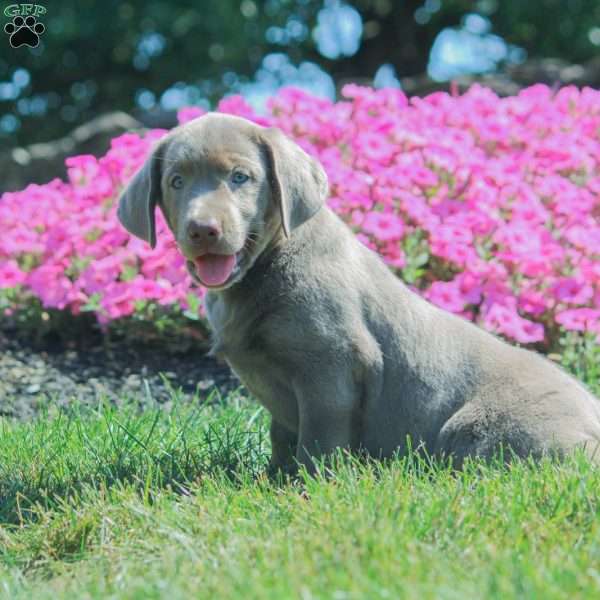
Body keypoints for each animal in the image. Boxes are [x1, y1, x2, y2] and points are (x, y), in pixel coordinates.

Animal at [117, 111, 600, 468]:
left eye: (240, 177)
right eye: (176, 181)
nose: (203, 229)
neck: (265, 266)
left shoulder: (331, 367)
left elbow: (319, 438)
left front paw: (306, 487)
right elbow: (281, 434)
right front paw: (272, 476)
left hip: (474, 430)